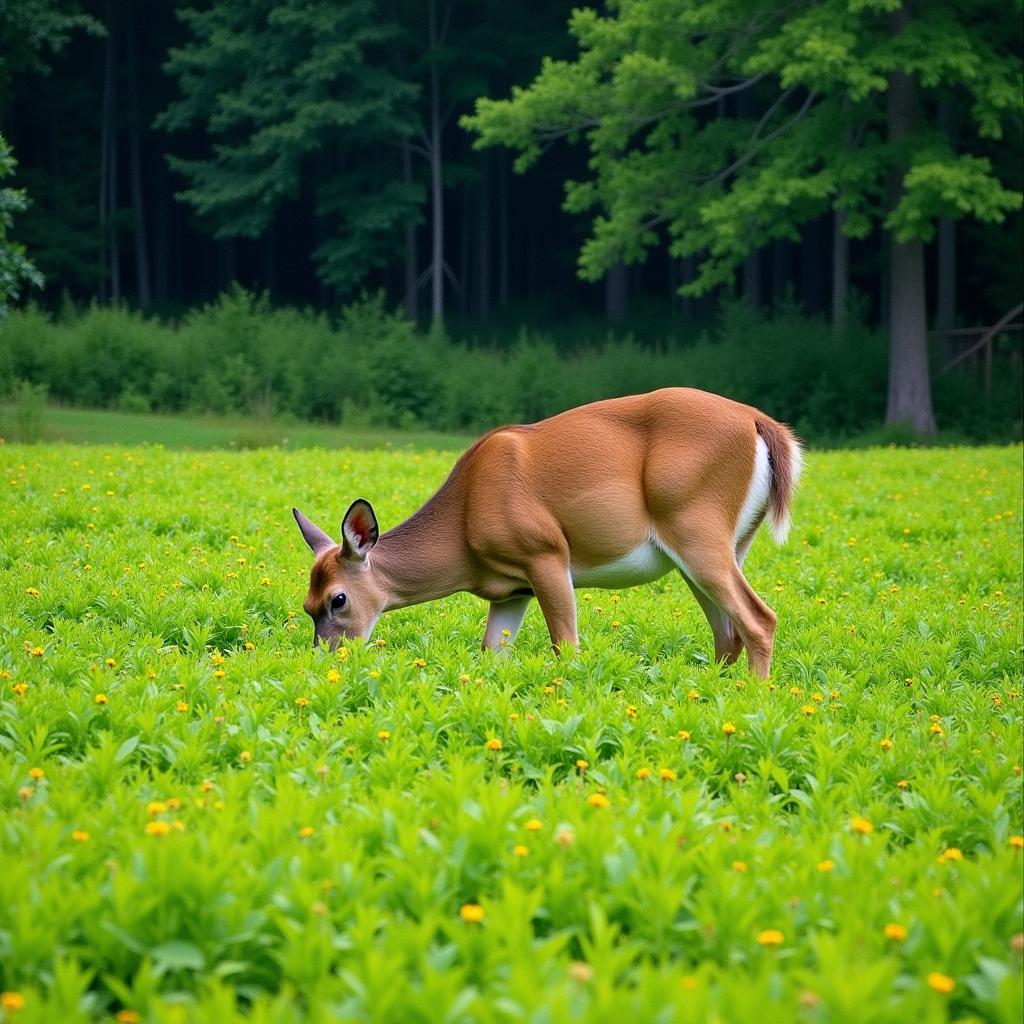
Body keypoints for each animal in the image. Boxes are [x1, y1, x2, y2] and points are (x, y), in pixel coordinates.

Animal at [292, 387, 802, 675]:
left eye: (338, 599)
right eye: (306, 605)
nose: (328, 662)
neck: (464, 528)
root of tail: (761, 423)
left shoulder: (546, 553)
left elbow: (567, 647)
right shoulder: (510, 591)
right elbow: (491, 654)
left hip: (697, 525)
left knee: (758, 619)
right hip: (719, 545)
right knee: (727, 634)